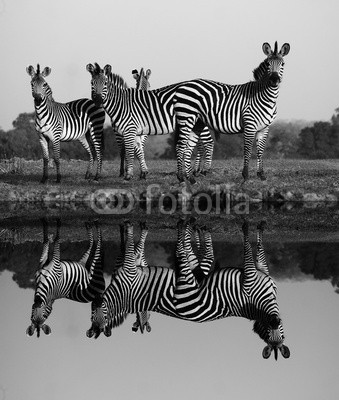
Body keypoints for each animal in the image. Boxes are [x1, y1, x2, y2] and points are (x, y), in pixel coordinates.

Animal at [86, 63, 214, 182]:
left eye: (105, 83)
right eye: (92, 83)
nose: (98, 101)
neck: (122, 103)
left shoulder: (130, 129)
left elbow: (130, 151)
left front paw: (130, 175)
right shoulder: (135, 131)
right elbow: (138, 150)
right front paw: (142, 172)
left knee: (208, 142)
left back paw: (204, 170)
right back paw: (197, 170)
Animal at [174, 40, 290, 181]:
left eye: (282, 64)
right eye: (268, 64)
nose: (274, 80)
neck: (265, 97)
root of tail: (183, 85)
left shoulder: (264, 127)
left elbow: (260, 150)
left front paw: (261, 174)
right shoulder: (249, 124)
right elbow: (247, 149)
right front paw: (245, 175)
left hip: (197, 123)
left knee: (187, 148)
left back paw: (189, 177)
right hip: (186, 118)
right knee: (180, 146)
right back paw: (181, 177)